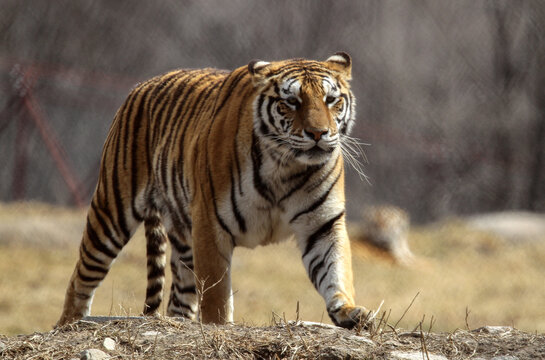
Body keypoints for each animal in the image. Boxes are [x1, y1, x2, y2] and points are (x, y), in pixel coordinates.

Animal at [55, 50, 370, 330]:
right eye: (291, 101)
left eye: (331, 100)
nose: (318, 134)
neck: (286, 167)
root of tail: (142, 85)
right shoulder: (211, 224)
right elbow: (216, 292)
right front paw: (219, 326)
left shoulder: (323, 224)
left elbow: (336, 271)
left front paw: (349, 312)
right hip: (112, 212)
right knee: (82, 275)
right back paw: (69, 323)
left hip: (184, 242)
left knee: (179, 299)